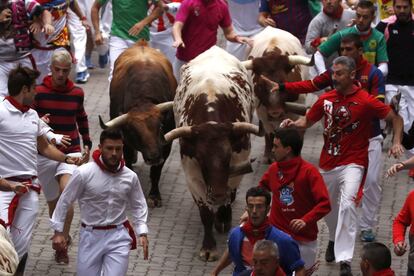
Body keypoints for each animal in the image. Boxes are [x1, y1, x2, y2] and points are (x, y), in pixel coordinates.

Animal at [99, 41, 176, 207]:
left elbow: (156, 171)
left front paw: (154, 196)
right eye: (133, 131)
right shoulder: (124, 140)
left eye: (160, 126)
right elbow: (127, 160)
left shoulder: (165, 144)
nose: (154, 156)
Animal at [164, 45, 264, 260]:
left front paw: (223, 218)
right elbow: (206, 214)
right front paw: (209, 247)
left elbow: (230, 193)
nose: (217, 195)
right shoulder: (192, 174)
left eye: (228, 156)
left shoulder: (238, 164)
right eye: (201, 159)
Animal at [241, 26, 312, 162]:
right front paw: (271, 155)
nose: (275, 113)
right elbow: (270, 133)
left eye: (283, 82)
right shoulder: (262, 112)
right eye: (260, 86)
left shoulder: (296, 110)